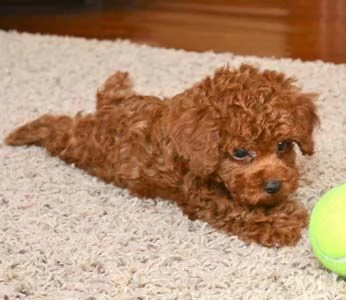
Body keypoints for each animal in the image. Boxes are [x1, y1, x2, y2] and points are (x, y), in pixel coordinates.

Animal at [5, 63, 318, 246]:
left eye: (282, 146)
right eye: (240, 152)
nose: (274, 185)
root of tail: (108, 110)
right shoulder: (200, 195)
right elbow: (237, 210)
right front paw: (280, 222)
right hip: (82, 147)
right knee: (60, 129)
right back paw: (23, 131)